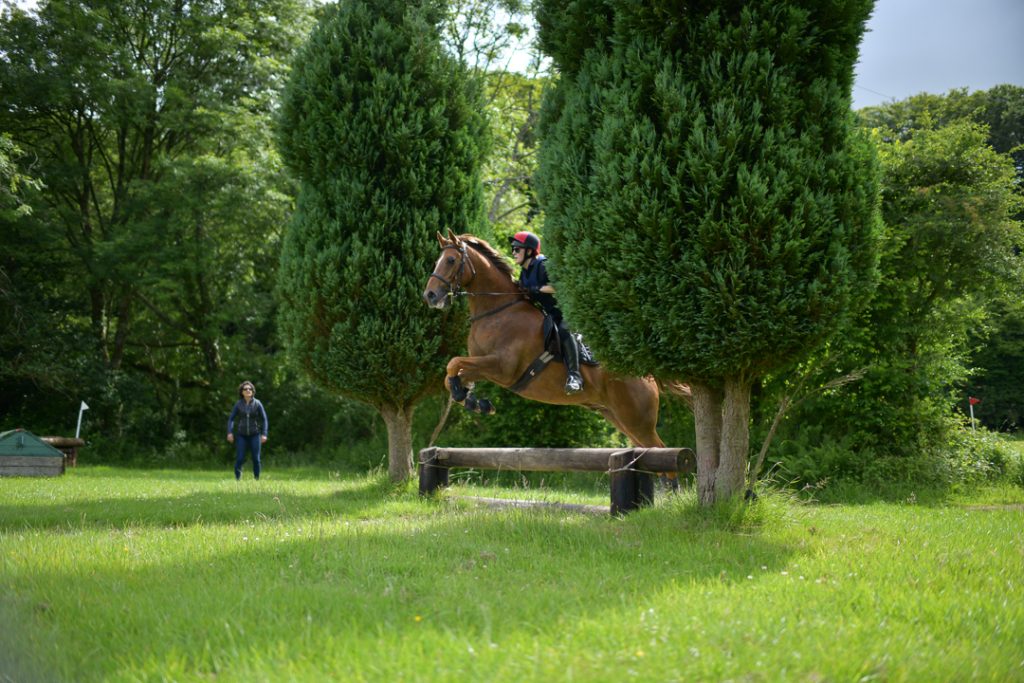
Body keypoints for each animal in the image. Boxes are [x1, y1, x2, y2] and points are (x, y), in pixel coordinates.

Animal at [419, 231, 692, 454]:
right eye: (438, 261)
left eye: (450, 260)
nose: (429, 296)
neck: (497, 310)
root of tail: (647, 375)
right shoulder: (483, 365)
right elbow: (452, 375)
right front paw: (474, 401)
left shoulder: (501, 368)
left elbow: (453, 363)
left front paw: (471, 398)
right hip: (618, 417)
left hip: (637, 420)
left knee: (661, 453)